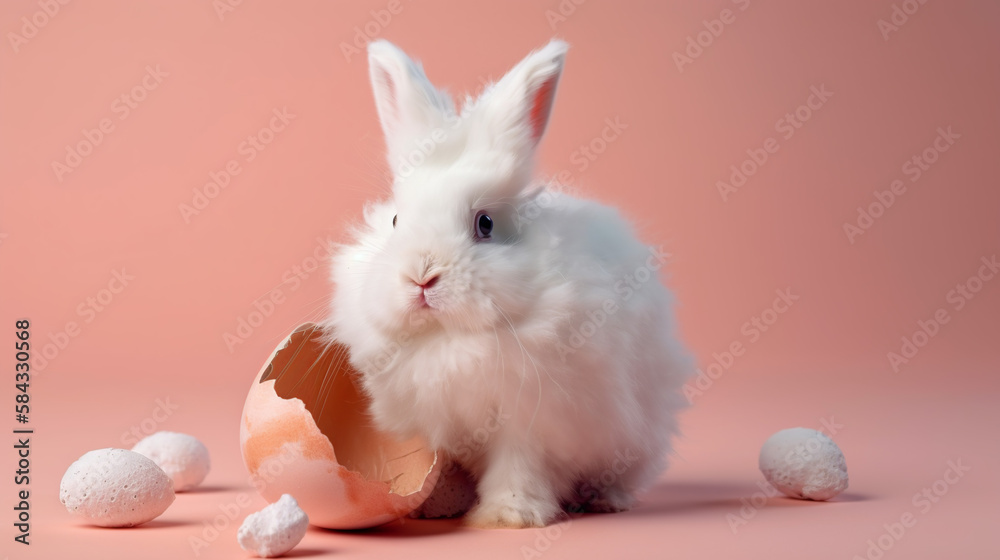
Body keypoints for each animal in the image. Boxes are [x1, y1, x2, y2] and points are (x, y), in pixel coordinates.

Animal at [322, 38, 693, 528]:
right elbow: (440, 469)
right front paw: (434, 507)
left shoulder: (531, 423)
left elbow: (519, 467)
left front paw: (509, 516)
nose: (422, 277)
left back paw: (604, 499)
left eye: (485, 224)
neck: (450, 339)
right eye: (397, 220)